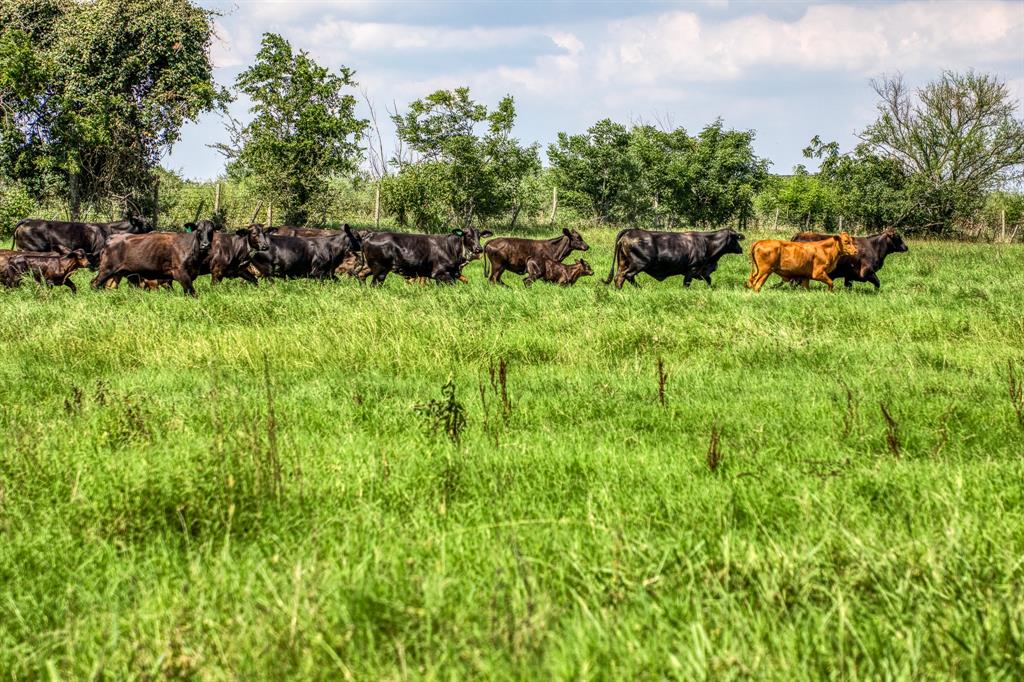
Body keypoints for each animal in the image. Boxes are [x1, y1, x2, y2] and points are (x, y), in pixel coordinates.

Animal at [360, 225, 491, 284]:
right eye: (468, 235)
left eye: (479, 236)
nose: (479, 249)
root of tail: (372, 234)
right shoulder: (439, 272)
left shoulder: (452, 274)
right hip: (380, 269)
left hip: (371, 267)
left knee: (361, 275)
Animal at [602, 224, 749, 284]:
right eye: (736, 238)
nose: (741, 249)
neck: (707, 242)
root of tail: (630, 231)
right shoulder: (692, 269)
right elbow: (686, 283)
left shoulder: (702, 272)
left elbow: (709, 281)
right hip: (639, 263)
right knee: (626, 276)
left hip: (623, 262)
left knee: (619, 277)